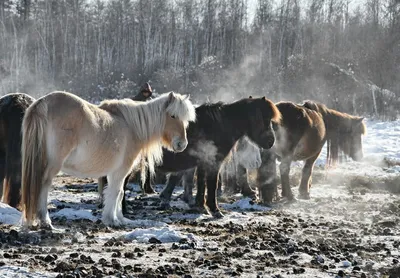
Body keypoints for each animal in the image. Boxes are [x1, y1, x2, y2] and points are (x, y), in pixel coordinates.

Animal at [21, 90, 196, 229]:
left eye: (186, 120)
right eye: (172, 115)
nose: (182, 144)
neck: (132, 127)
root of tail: (43, 103)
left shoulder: (113, 173)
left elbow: (116, 192)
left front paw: (118, 218)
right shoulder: (120, 171)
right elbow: (118, 192)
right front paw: (113, 220)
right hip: (52, 165)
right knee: (43, 185)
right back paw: (45, 221)